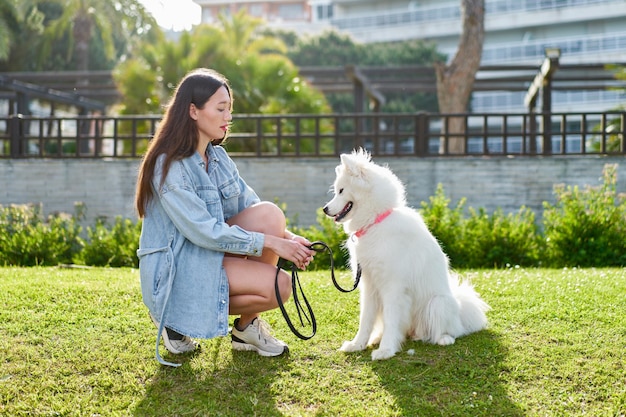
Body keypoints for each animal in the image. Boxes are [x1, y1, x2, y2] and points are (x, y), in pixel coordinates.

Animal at [324, 148, 490, 360]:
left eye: (341, 191)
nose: (325, 209)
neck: (376, 220)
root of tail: (460, 310)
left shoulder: (393, 287)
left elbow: (391, 321)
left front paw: (386, 351)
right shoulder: (369, 285)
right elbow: (365, 319)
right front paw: (357, 344)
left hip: (438, 303)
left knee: (450, 330)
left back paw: (442, 338)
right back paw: (382, 338)